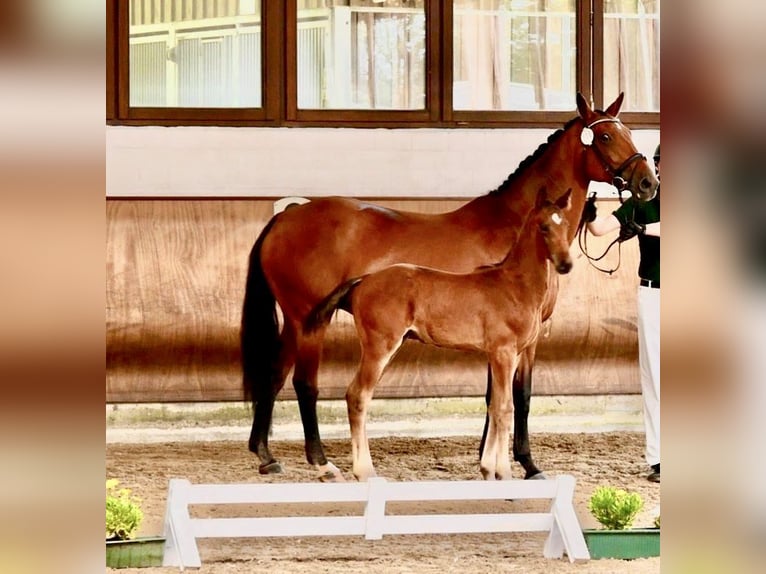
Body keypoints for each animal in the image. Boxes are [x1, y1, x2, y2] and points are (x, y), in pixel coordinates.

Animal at [308, 188, 572, 482]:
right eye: (544, 226)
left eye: (566, 225)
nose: (566, 264)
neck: (515, 285)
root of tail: (363, 280)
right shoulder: (504, 352)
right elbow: (505, 408)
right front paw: (503, 473)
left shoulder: (505, 355)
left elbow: (494, 406)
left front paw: (487, 469)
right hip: (380, 347)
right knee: (358, 396)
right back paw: (366, 472)